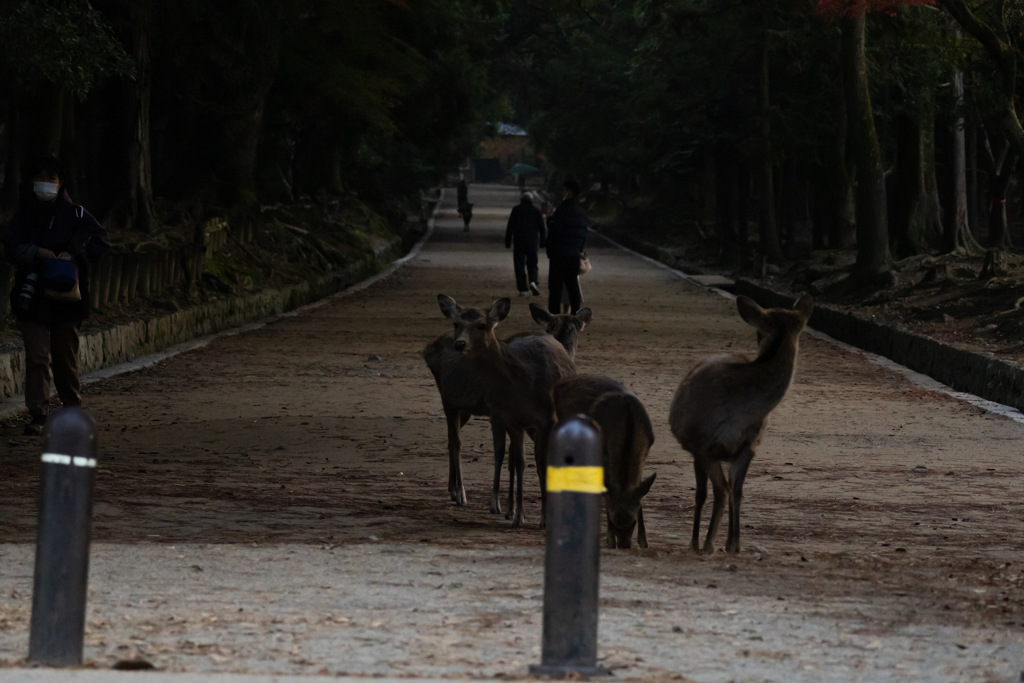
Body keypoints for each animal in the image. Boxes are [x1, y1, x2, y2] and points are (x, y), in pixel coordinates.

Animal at [667, 294, 811, 557]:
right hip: (702, 451)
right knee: (715, 490)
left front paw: (735, 544)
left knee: (724, 490)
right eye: (758, 331)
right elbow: (701, 494)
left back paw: (713, 542)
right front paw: (693, 542)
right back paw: (704, 542)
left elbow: (737, 492)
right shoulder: (700, 444)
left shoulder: (748, 445)